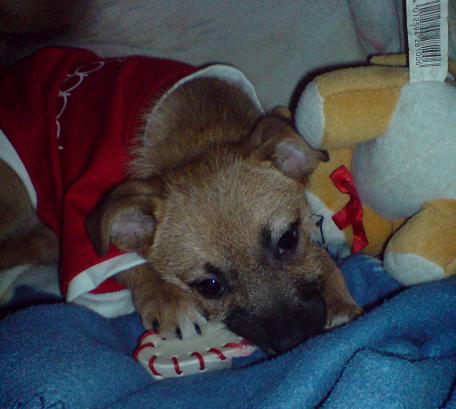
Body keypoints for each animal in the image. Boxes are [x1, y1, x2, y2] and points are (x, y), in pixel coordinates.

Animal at [0, 47, 361, 354]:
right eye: (210, 286)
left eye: (288, 240)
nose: (295, 340)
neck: (200, 137)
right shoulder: (83, 226)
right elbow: (122, 261)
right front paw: (166, 299)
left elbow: (319, 255)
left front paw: (340, 298)